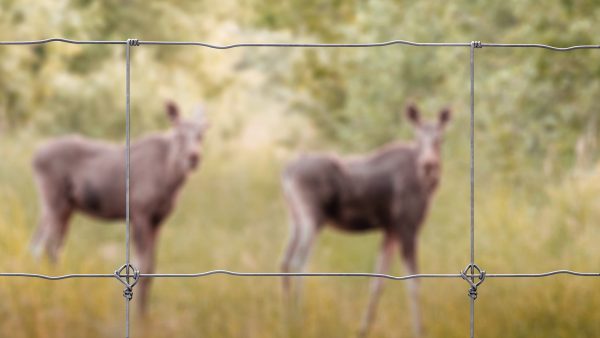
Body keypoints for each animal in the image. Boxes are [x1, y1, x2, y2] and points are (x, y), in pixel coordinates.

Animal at [31, 101, 209, 310]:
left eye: (200, 135)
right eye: (179, 134)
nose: (194, 156)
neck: (169, 179)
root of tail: (34, 158)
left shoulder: (158, 220)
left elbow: (151, 269)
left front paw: (144, 314)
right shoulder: (140, 212)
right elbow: (141, 267)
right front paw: (138, 312)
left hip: (63, 207)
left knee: (40, 244)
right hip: (55, 200)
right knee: (48, 246)